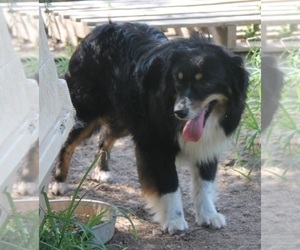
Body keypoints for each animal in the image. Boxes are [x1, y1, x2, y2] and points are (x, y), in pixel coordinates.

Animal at [51, 22, 248, 234]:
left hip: (125, 117)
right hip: (87, 111)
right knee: (67, 142)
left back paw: (102, 171)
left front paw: (208, 215)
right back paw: (58, 181)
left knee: (105, 139)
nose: (179, 112)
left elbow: (205, 184)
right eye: (177, 80)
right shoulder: (155, 145)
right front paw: (174, 220)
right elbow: (169, 184)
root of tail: (98, 29)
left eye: (205, 82)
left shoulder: (207, 144)